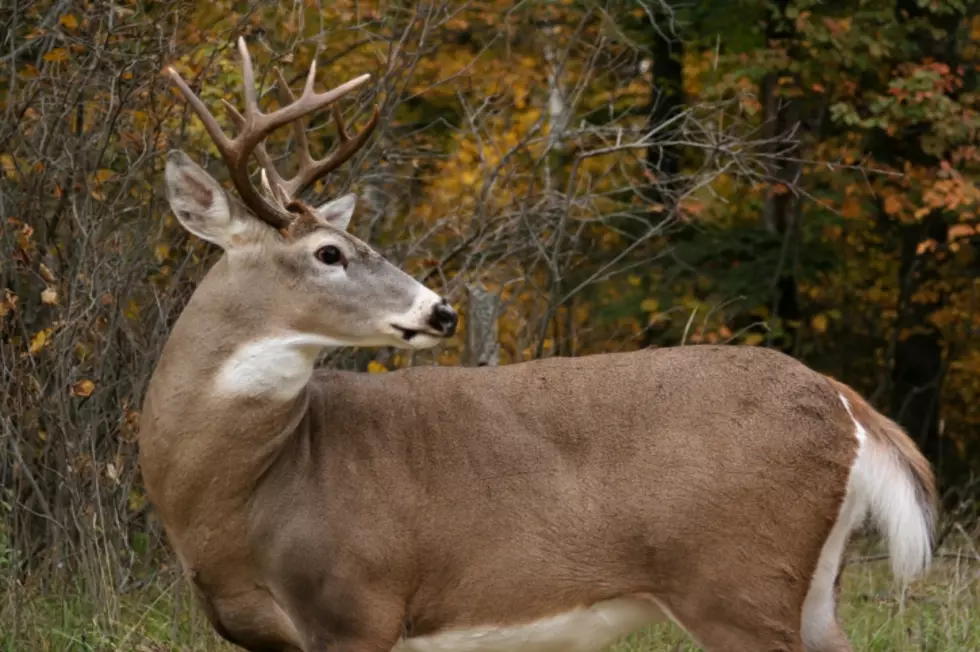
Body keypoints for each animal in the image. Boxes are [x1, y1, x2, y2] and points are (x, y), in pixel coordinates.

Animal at [142, 37, 936, 652]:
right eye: (331, 252)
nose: (442, 312)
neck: (244, 497)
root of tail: (844, 404)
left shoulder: (358, 603)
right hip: (812, 590)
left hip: (739, 581)